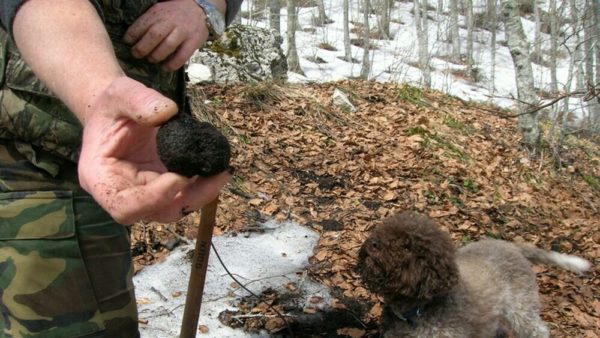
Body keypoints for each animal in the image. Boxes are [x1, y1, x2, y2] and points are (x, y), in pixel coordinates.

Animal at [356, 211, 592, 338]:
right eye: (384, 231)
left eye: (407, 247)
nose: (372, 243)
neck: (417, 310)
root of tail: (512, 246)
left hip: (521, 309)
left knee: (538, 330)